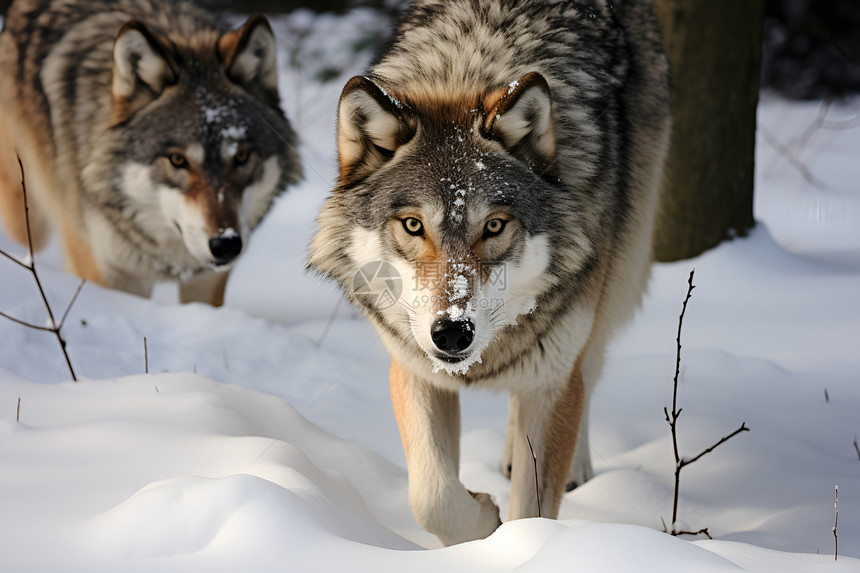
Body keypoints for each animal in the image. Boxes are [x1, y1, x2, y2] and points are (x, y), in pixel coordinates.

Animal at [0, 0, 302, 306]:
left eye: (241, 157)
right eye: (178, 160)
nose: (226, 244)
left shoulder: (207, 281)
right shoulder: (113, 275)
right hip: (27, 215)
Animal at [310, 0, 672, 544]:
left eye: (494, 225)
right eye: (413, 225)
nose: (452, 333)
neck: (470, 66)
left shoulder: (552, 380)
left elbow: (533, 510)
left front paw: (520, 542)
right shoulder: (414, 367)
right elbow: (432, 496)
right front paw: (481, 527)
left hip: (619, 272)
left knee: (589, 369)